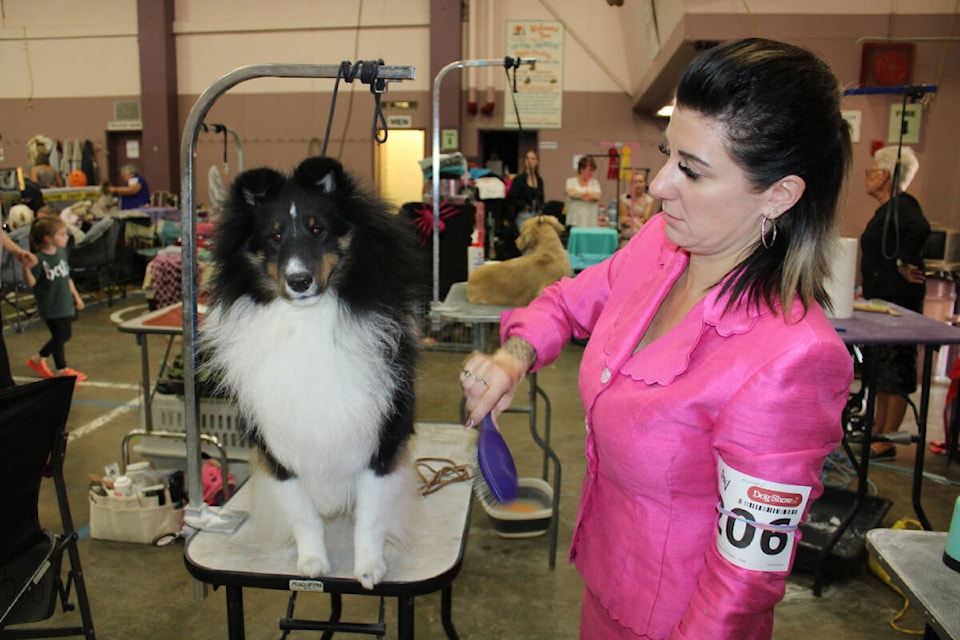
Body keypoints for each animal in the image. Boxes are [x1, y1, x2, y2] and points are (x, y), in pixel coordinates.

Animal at [201, 156, 426, 592]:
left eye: (317, 228)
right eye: (273, 236)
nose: (299, 281)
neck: (307, 320)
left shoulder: (382, 440)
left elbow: (369, 516)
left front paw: (369, 569)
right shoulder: (279, 445)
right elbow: (303, 513)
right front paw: (312, 562)